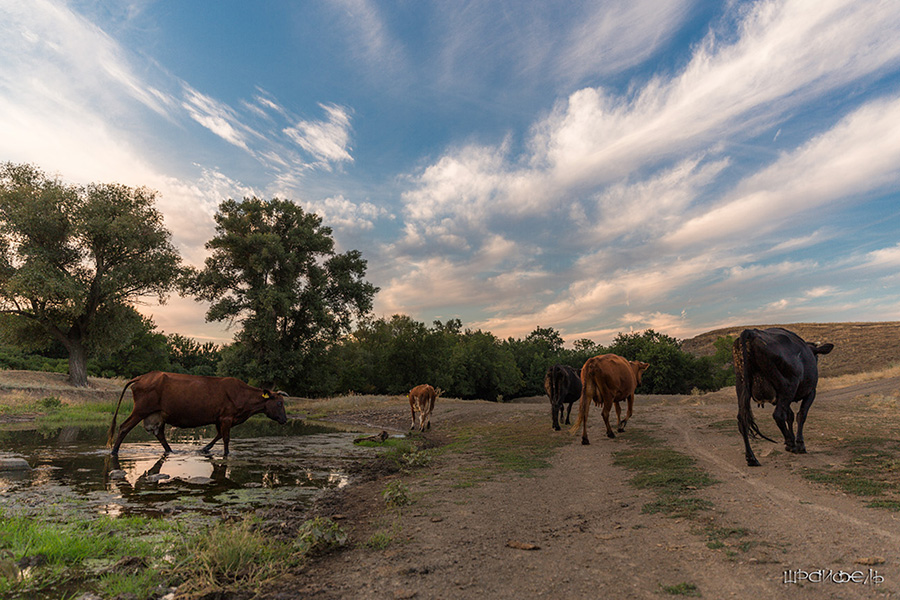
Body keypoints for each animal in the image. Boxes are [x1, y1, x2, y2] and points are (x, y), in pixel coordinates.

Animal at [106, 370, 290, 454]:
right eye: (279, 403)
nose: (285, 420)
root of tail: (144, 376)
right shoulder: (226, 417)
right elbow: (226, 438)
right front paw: (225, 454)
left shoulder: (219, 418)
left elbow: (219, 435)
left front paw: (205, 448)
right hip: (141, 410)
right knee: (124, 427)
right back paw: (114, 452)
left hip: (157, 413)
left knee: (159, 434)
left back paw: (170, 451)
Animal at [736, 330, 832, 466]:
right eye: (816, 357)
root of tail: (752, 332)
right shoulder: (811, 392)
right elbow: (801, 415)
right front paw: (799, 444)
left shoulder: (779, 399)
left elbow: (790, 416)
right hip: (788, 387)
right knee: (778, 415)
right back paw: (791, 443)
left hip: (742, 386)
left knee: (742, 420)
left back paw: (751, 457)